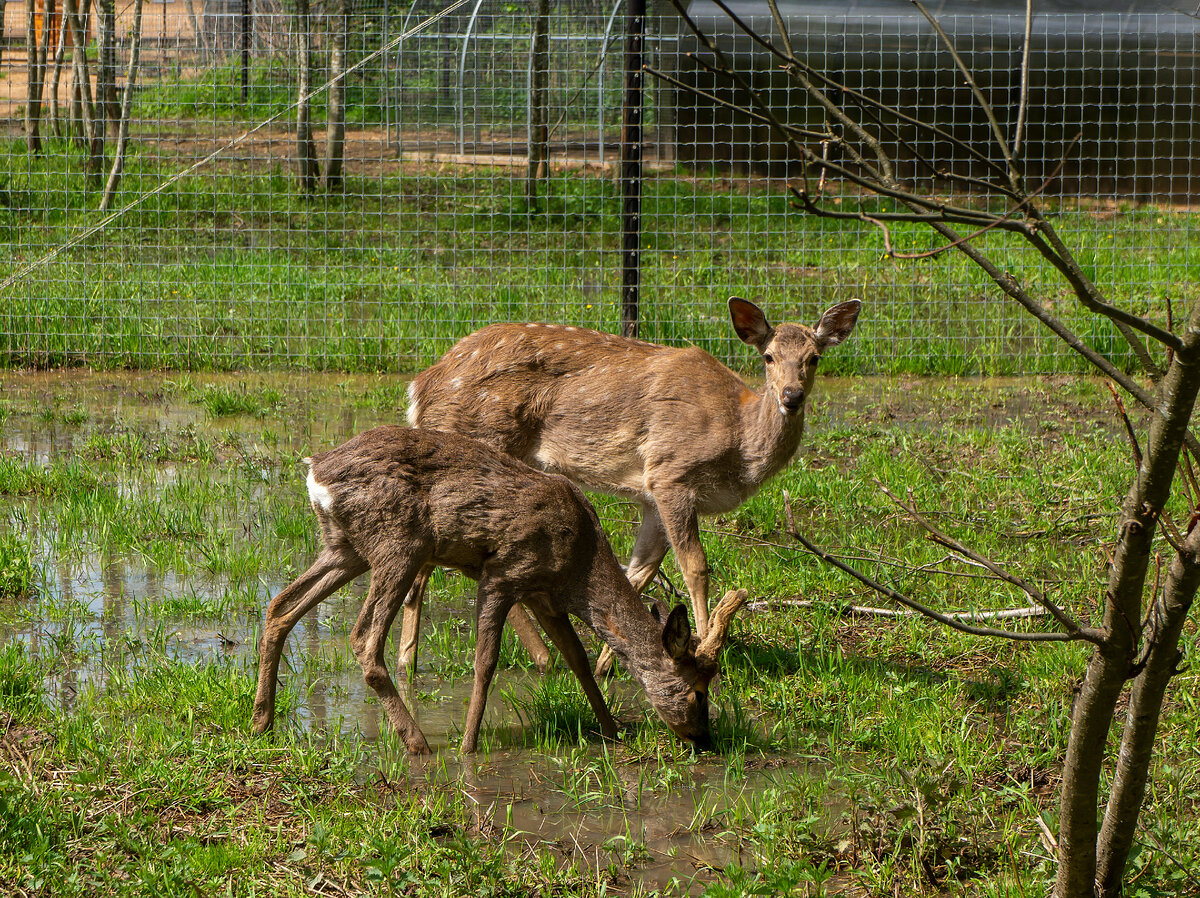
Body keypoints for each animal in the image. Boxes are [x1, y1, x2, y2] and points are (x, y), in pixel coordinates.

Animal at [249, 424, 744, 753]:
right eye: (698, 691)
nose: (704, 738)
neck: (579, 564)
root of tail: (316, 472)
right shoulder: (504, 574)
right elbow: (485, 663)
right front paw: (469, 748)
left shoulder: (544, 595)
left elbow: (578, 660)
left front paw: (612, 730)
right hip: (399, 544)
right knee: (363, 640)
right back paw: (417, 743)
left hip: (343, 548)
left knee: (280, 606)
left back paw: (262, 722)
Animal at [403, 297, 864, 672]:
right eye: (767, 356)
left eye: (814, 358)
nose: (791, 396)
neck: (739, 440)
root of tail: (419, 388)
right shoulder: (671, 472)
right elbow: (696, 566)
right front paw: (706, 648)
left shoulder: (650, 497)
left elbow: (638, 572)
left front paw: (613, 661)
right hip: (482, 443)